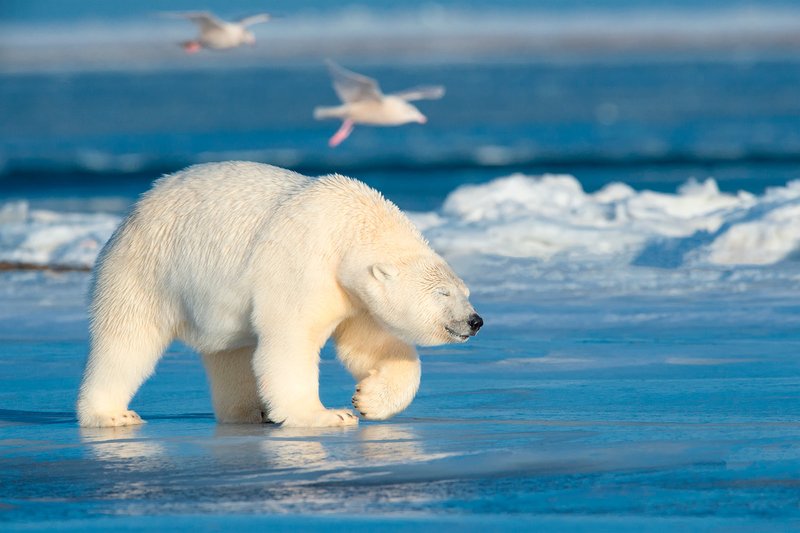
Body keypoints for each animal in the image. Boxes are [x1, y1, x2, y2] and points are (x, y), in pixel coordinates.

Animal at [77, 161, 482, 428]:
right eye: (443, 293)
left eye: (464, 290)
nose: (474, 321)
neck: (347, 227)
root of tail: (132, 213)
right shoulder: (303, 262)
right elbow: (291, 340)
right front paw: (328, 414)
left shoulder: (354, 296)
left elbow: (371, 344)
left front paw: (368, 399)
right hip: (147, 270)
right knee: (127, 341)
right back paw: (111, 414)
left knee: (231, 355)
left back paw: (249, 411)